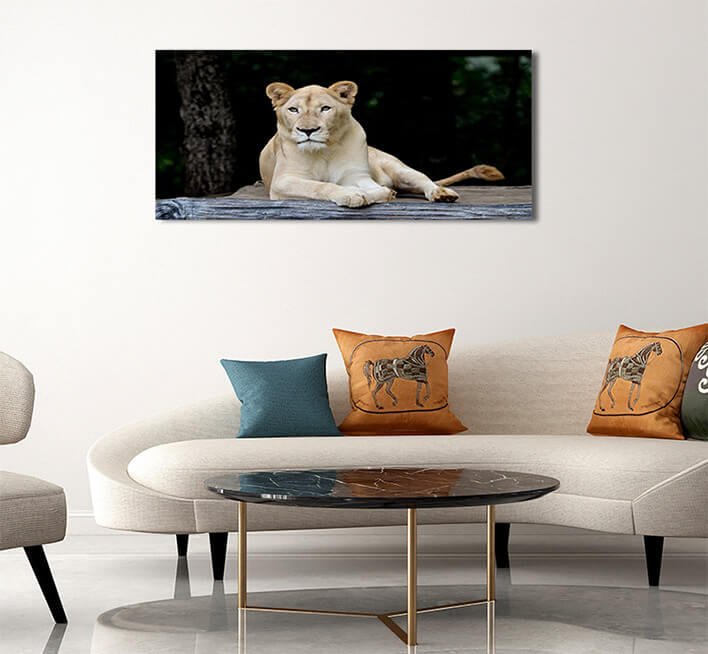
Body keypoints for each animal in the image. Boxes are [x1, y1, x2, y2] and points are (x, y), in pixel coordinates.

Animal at [256, 80, 504, 208]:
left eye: (325, 108)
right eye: (293, 109)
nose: (308, 131)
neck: (324, 151)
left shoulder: (357, 176)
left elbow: (374, 189)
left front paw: (375, 193)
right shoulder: (282, 182)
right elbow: (319, 186)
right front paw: (352, 195)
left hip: (400, 170)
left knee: (425, 180)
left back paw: (441, 193)